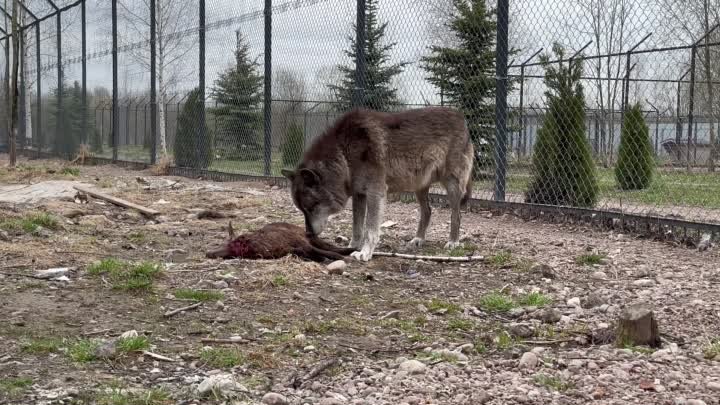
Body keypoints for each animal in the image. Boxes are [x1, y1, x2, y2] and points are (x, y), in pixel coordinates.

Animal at [280, 105, 472, 260]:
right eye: (302, 210)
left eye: (312, 207)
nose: (308, 233)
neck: (344, 154)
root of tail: (462, 118)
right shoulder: (359, 195)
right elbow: (357, 227)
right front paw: (353, 247)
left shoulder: (375, 192)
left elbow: (370, 228)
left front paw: (365, 253)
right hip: (420, 186)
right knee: (427, 211)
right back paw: (418, 239)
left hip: (452, 184)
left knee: (457, 215)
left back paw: (453, 242)